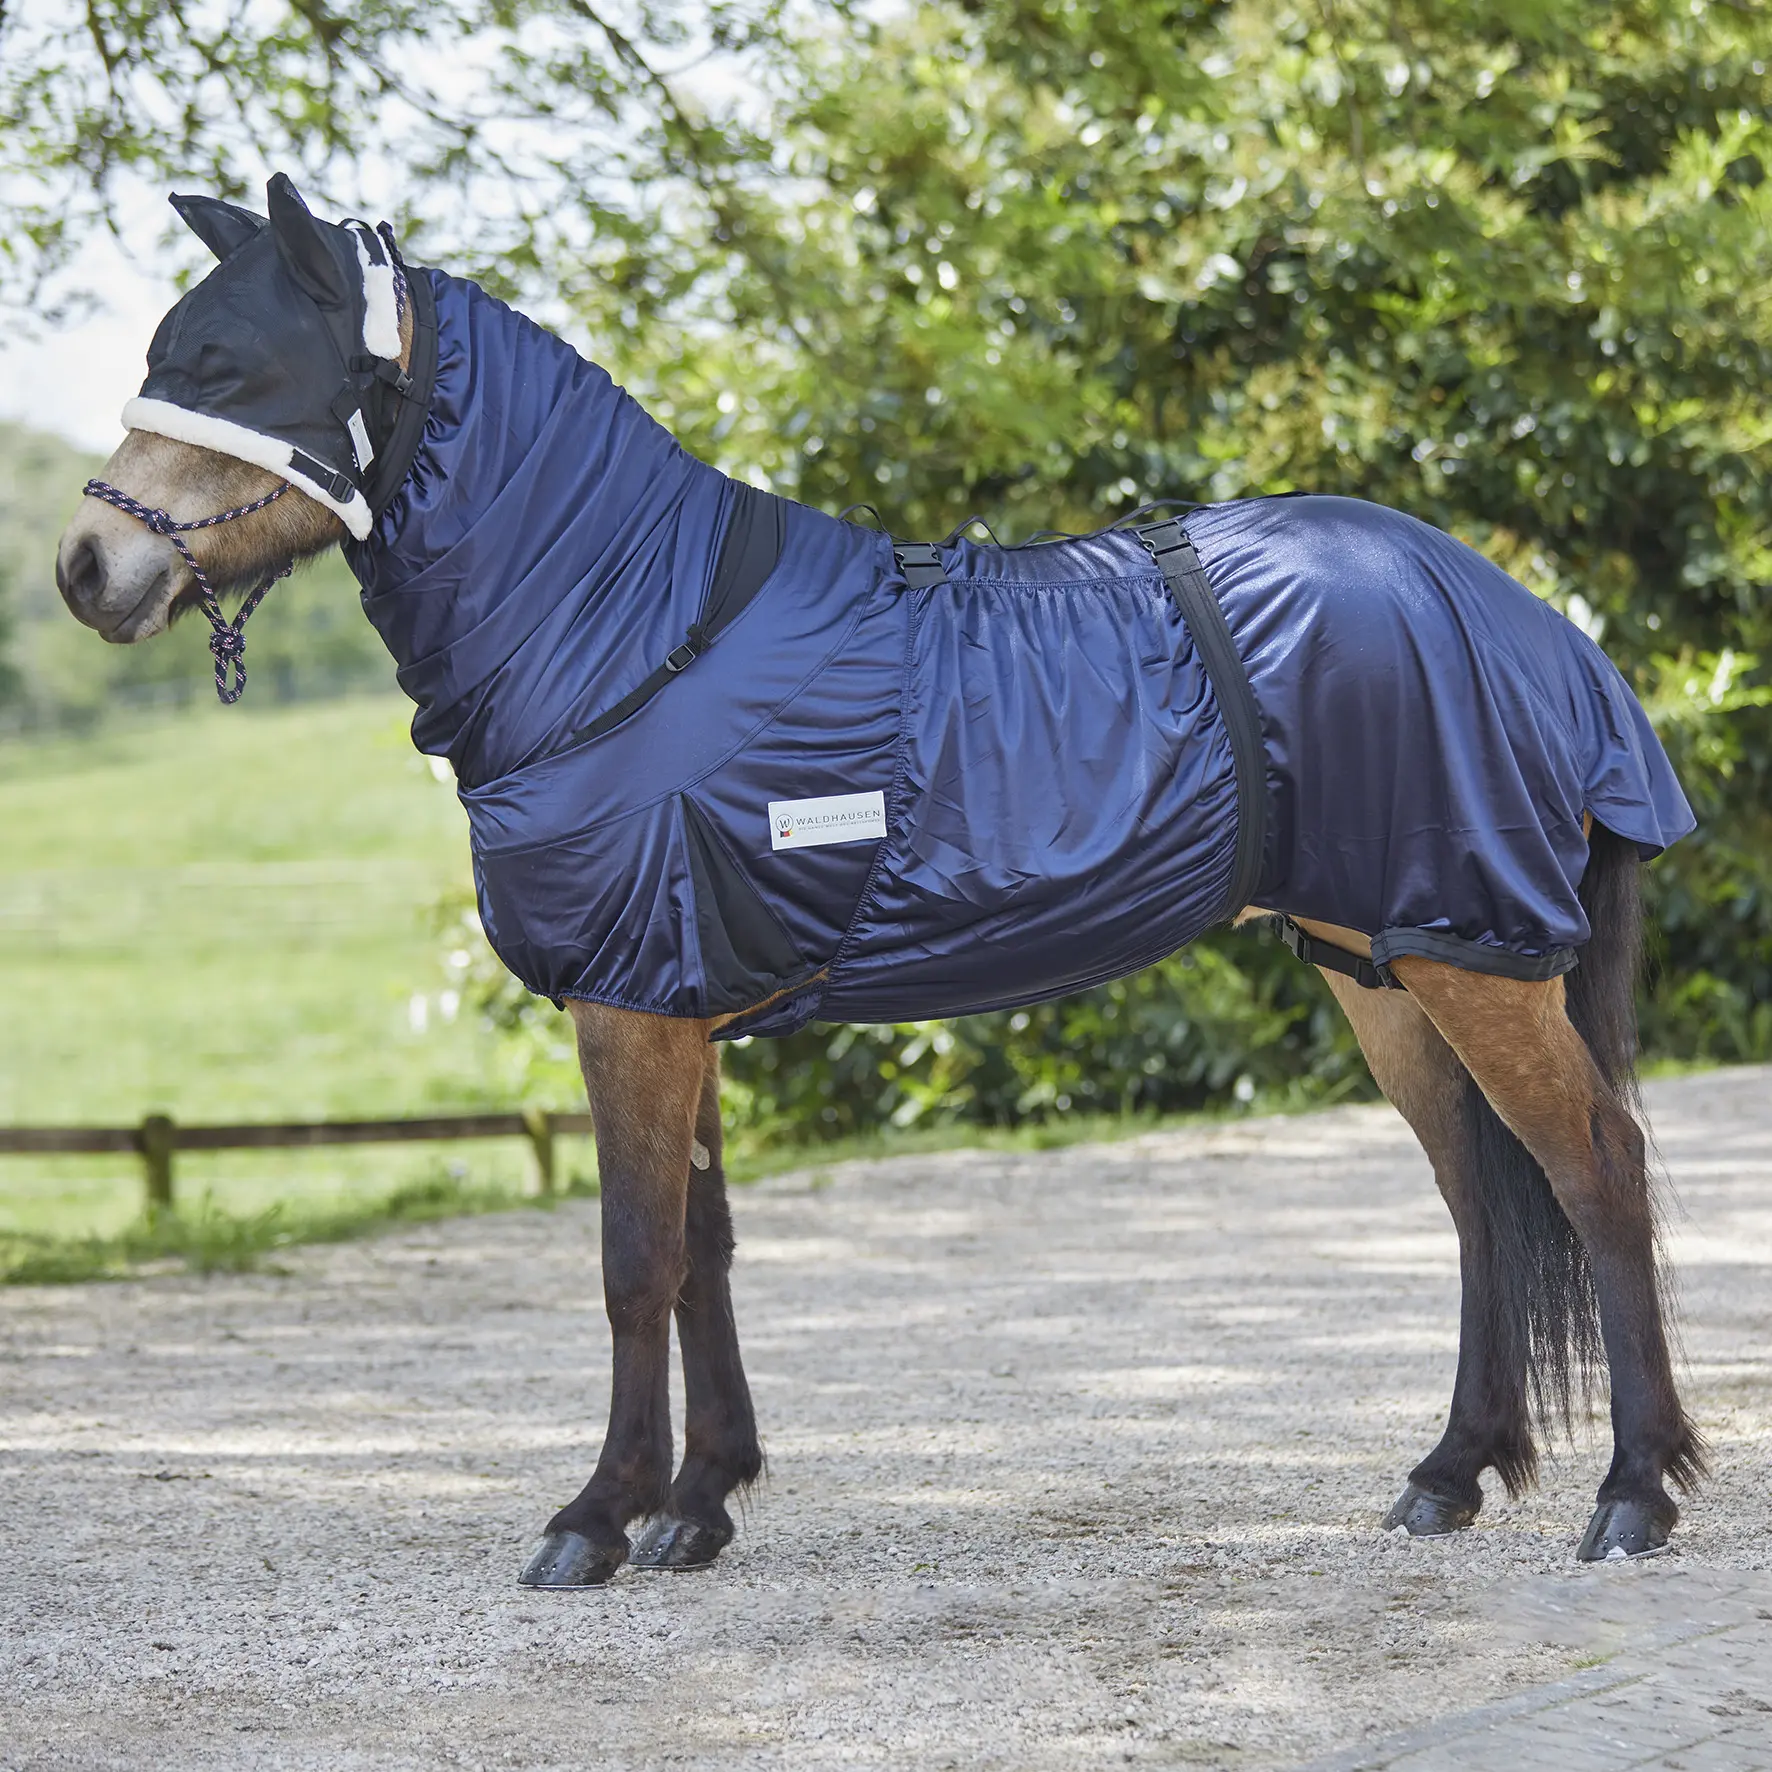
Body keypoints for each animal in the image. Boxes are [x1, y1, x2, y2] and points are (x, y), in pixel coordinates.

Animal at [55, 174, 1706, 1586]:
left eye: (233, 367)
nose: (83, 571)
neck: (633, 632)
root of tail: (1524, 619)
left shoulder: (626, 1007)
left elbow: (633, 1261)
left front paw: (595, 1519)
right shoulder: (677, 1001)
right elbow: (704, 1253)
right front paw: (698, 1505)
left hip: (1470, 955)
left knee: (1596, 1170)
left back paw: (1634, 1496)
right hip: (1384, 964)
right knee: (1480, 1198)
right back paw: (1448, 1473)